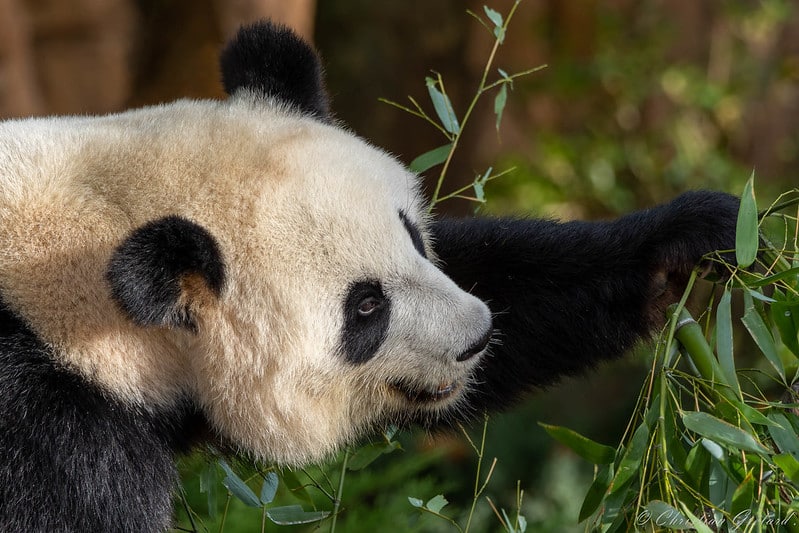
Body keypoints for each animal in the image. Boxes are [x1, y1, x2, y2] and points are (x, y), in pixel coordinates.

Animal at [0, 19, 736, 528]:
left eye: (411, 234)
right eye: (365, 308)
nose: (474, 338)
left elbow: (506, 275)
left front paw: (691, 243)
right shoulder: (49, 430)